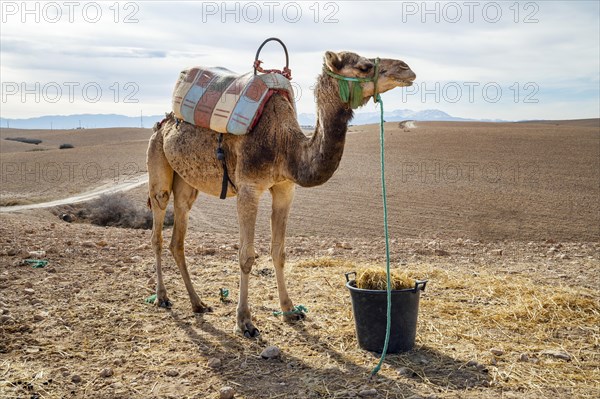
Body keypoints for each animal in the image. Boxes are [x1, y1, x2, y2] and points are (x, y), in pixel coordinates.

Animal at [147, 50, 414, 338]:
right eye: (364, 67)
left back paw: (198, 303)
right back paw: (162, 297)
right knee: (158, 229)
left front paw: (290, 310)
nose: (406, 69)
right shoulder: (248, 189)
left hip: (186, 183)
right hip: (158, 163)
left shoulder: (285, 189)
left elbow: (279, 253)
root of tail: (163, 122)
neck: (284, 146)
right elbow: (246, 256)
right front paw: (245, 322)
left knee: (178, 236)